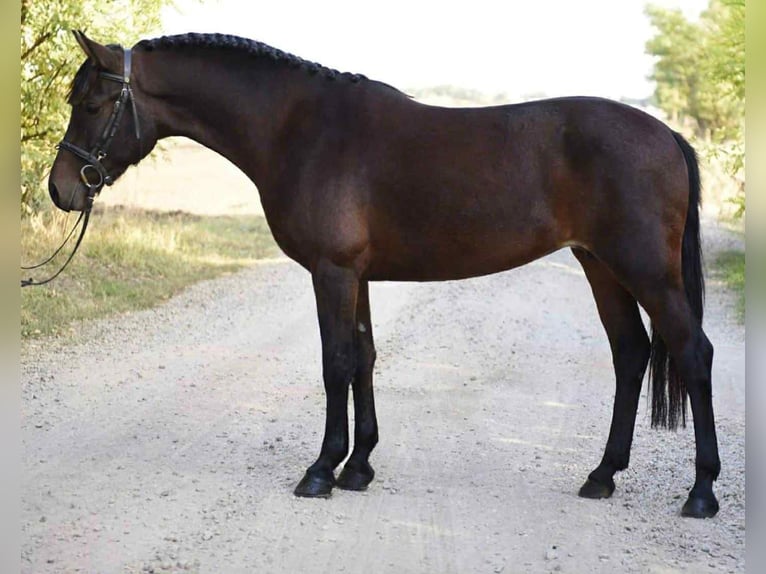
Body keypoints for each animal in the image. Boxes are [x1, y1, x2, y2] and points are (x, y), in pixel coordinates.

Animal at [47, 30, 720, 518]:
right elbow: (365, 357)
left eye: (92, 103)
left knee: (692, 352)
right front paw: (359, 467)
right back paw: (602, 476)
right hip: (600, 266)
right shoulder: (357, 275)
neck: (298, 128)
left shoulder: (332, 273)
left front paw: (321, 470)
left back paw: (701, 493)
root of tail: (667, 135)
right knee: (631, 354)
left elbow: (336, 363)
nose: (60, 190)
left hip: (646, 272)